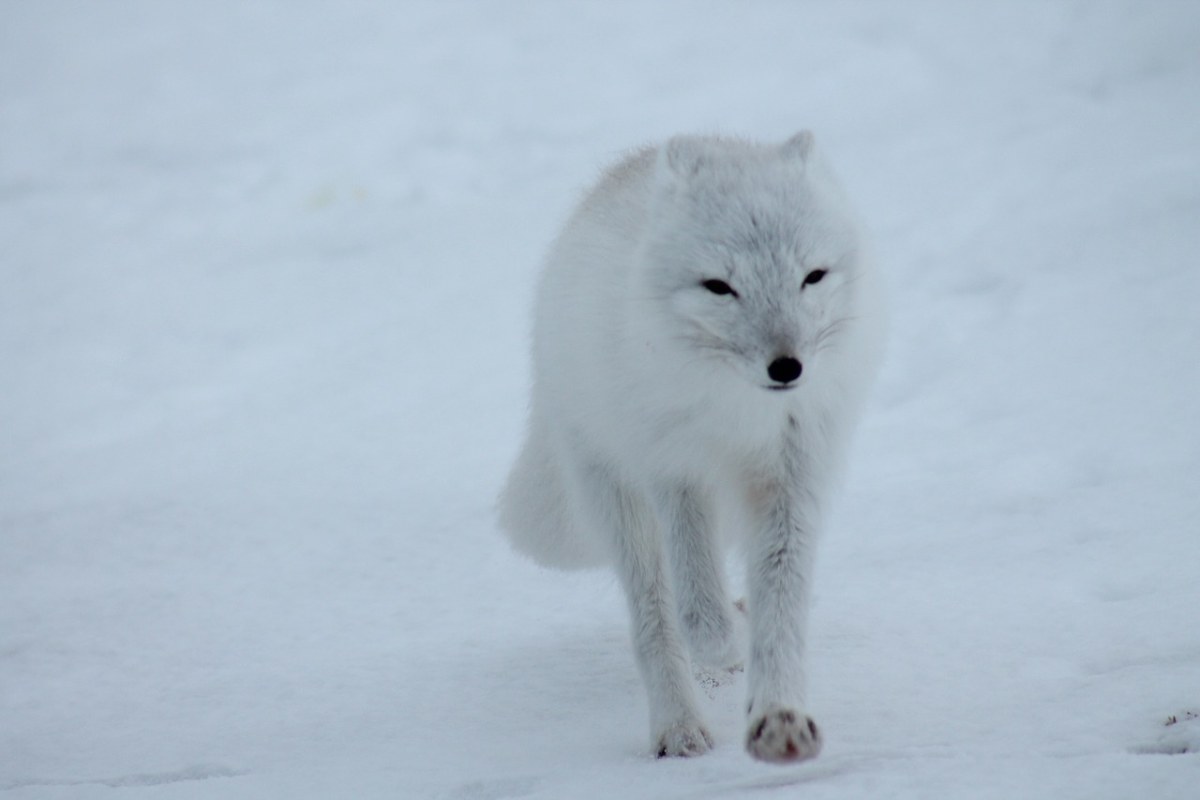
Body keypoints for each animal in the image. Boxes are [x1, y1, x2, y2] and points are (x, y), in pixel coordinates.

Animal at [496, 131, 883, 762]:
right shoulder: (675, 473)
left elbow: (782, 604)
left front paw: (779, 719)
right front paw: (728, 645)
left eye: (813, 276)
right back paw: (678, 729)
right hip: (619, 500)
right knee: (657, 616)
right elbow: (699, 614)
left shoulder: (792, 477)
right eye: (719, 287)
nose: (787, 367)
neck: (740, 412)